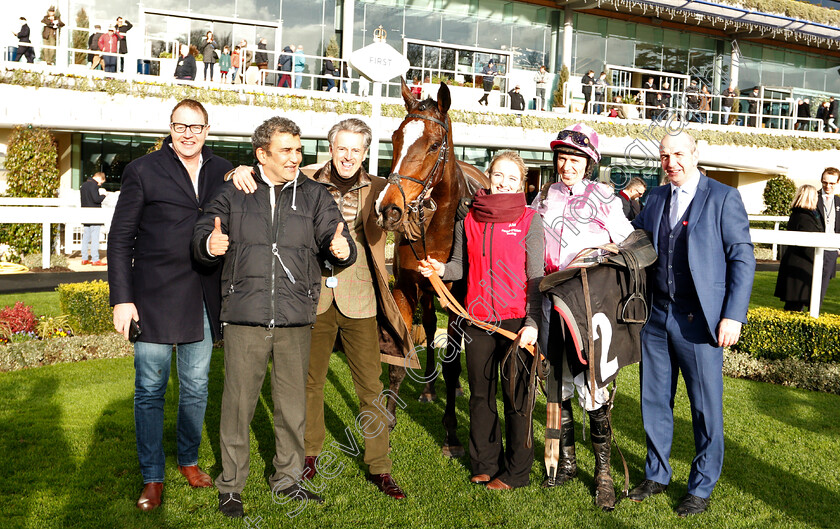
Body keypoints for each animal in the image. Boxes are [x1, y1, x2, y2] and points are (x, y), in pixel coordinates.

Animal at [378, 79, 488, 458]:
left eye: (435, 145)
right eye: (395, 137)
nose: (389, 210)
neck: (437, 229)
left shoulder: (457, 301)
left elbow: (454, 366)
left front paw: (452, 433)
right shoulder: (405, 288)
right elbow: (401, 354)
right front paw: (388, 421)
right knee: (427, 323)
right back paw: (427, 388)